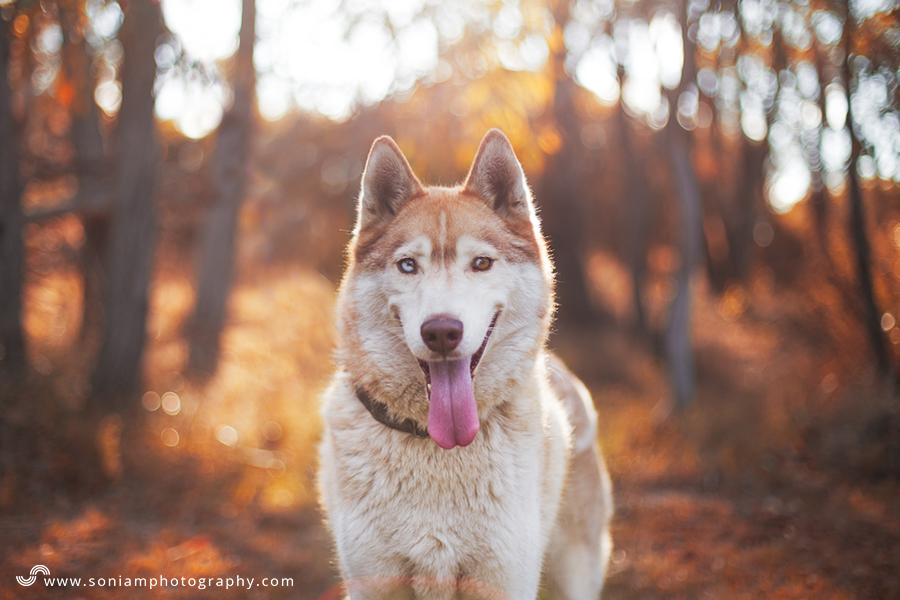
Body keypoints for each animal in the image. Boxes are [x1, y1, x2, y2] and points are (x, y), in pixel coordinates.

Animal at [316, 129, 612, 596]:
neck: (438, 446)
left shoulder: (503, 579)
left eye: (481, 263)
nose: (441, 331)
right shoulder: (375, 581)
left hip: (574, 575)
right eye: (408, 265)